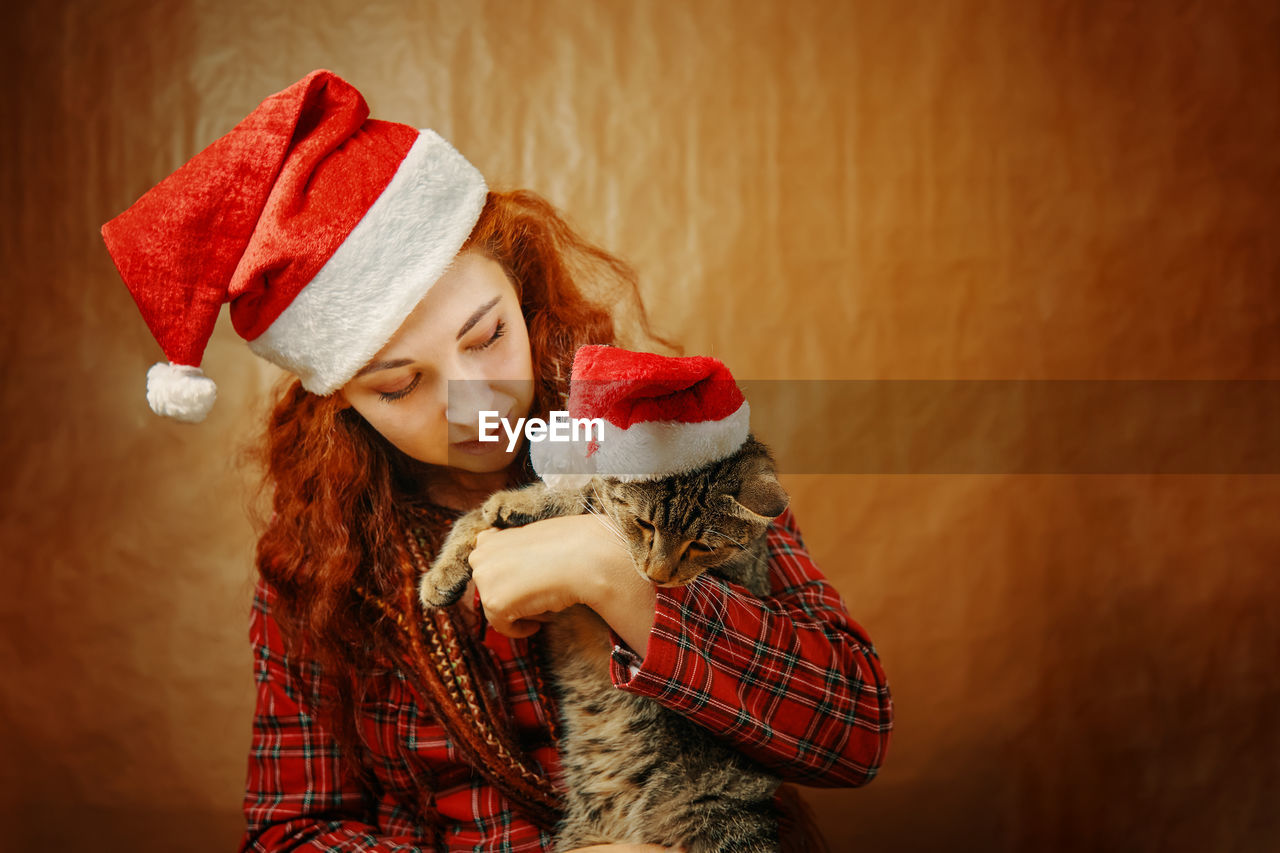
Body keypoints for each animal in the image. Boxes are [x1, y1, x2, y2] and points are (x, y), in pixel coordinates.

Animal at [419, 435, 788, 850]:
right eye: (645, 525)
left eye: (702, 547)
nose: (657, 575)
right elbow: (471, 519)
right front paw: (440, 575)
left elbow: (583, 497)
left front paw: (523, 503)